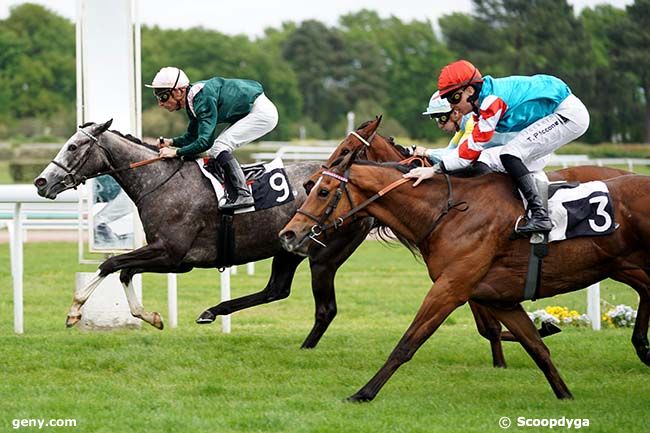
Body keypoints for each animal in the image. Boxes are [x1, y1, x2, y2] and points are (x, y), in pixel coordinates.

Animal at [34, 120, 370, 350]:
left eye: (73, 146)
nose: (40, 182)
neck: (161, 181)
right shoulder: (172, 257)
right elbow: (124, 271)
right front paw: (151, 317)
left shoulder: (171, 253)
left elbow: (111, 264)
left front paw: (74, 310)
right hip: (287, 247)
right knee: (276, 289)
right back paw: (212, 311)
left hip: (323, 256)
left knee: (325, 309)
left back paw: (304, 347)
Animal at [280, 149, 648, 402]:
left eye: (323, 191)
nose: (288, 234)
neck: (449, 213)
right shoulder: (498, 298)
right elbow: (537, 347)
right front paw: (566, 395)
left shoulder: (450, 289)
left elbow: (407, 343)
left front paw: (363, 393)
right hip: (625, 265)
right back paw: (641, 345)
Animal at [316, 117, 632, 368]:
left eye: (345, 151)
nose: (312, 181)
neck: (446, 201)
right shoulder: (469, 278)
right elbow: (488, 326)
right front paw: (524, 343)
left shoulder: (467, 274)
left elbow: (489, 326)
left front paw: (521, 346)